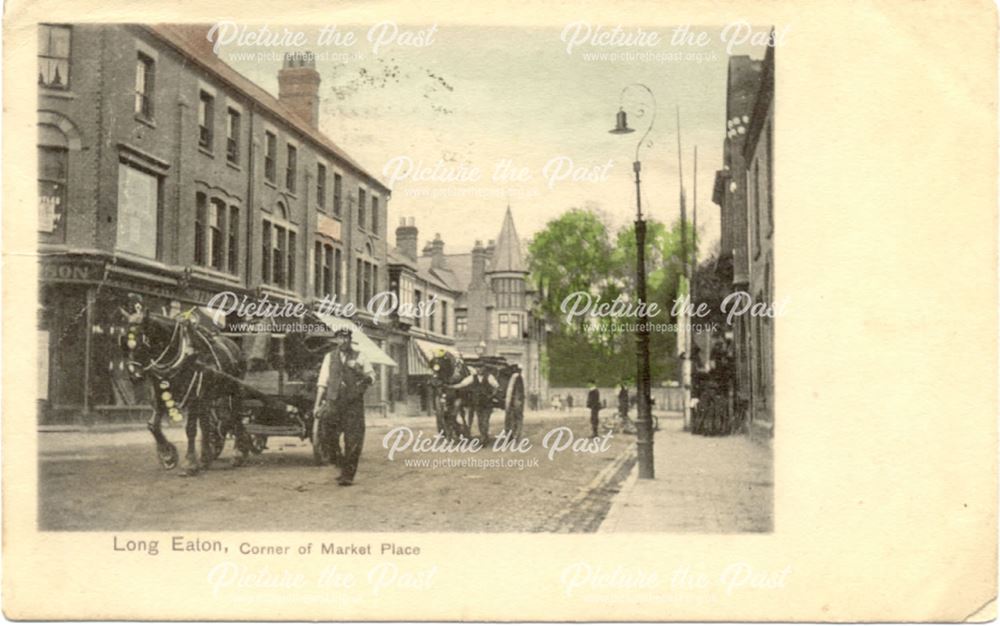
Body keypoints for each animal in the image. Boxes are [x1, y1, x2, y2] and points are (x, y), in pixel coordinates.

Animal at [121, 298, 254, 472]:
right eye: (124, 339)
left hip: (233, 391)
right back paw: (207, 456)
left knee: (235, 417)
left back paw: (239, 452)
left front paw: (190, 463)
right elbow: (153, 425)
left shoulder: (193, 396)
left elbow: (190, 429)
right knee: (209, 423)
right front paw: (168, 455)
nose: (134, 374)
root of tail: (233, 344)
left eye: (143, 339)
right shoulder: (160, 394)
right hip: (207, 396)